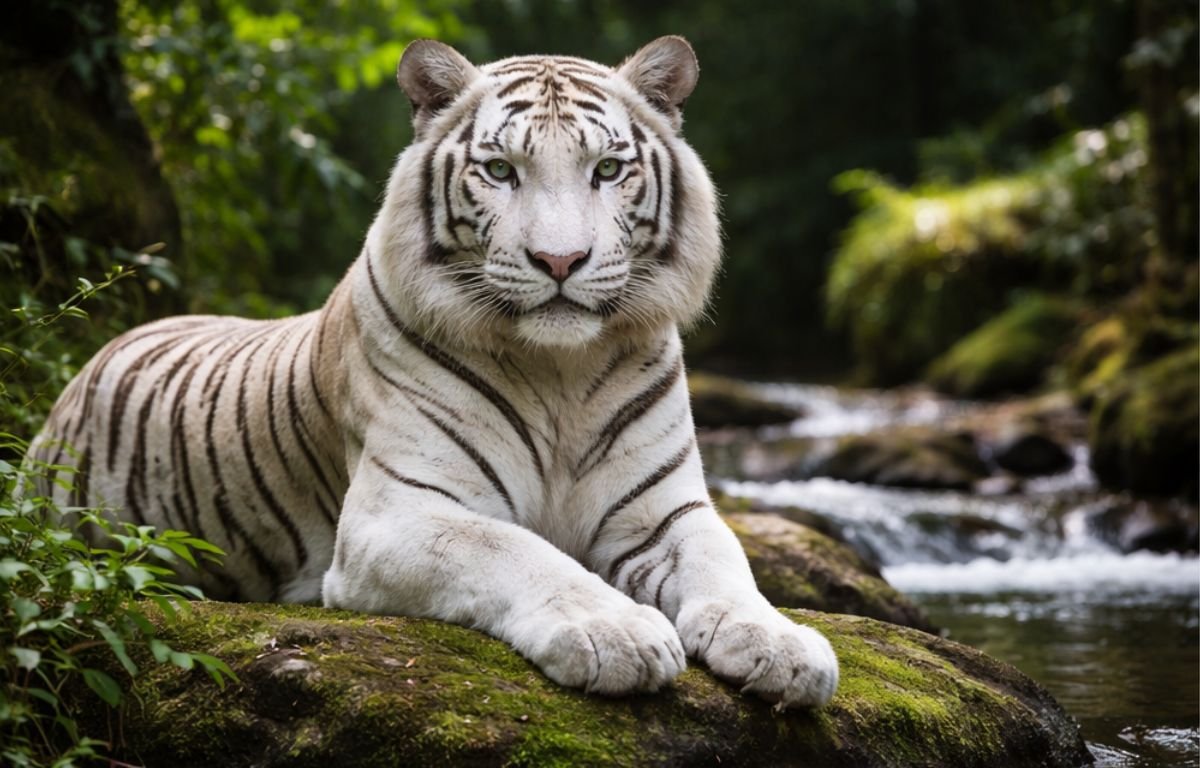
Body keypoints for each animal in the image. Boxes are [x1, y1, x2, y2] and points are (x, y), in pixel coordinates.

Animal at [30, 37, 838, 707]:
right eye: (500, 170)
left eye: (607, 169)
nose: (560, 262)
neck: (561, 370)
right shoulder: (397, 513)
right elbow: (515, 549)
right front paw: (616, 632)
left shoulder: (664, 509)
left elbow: (724, 559)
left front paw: (781, 644)